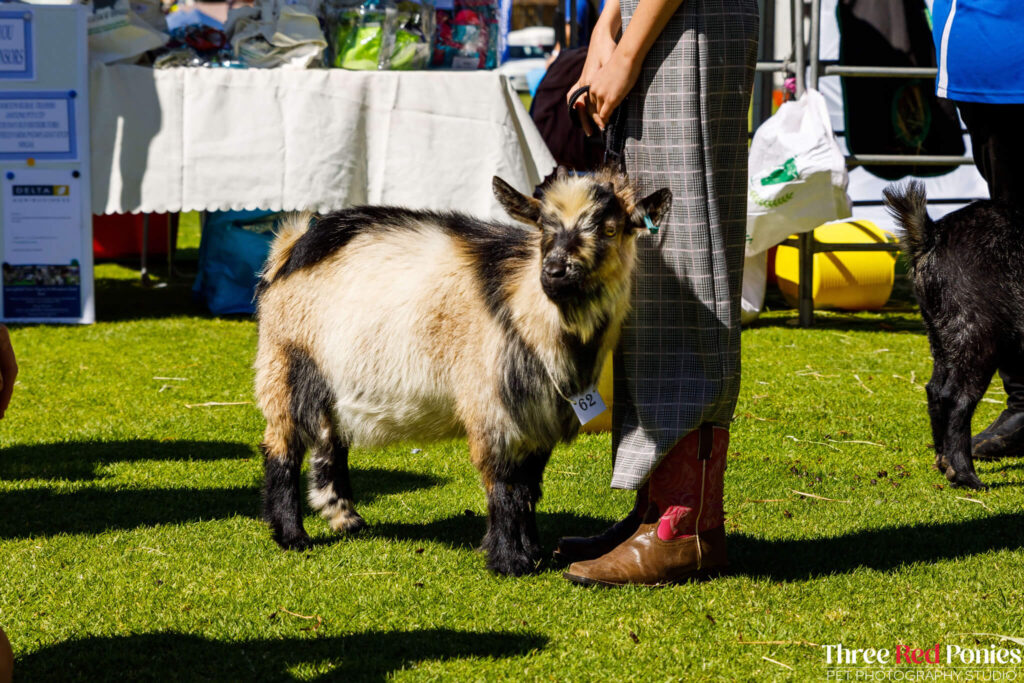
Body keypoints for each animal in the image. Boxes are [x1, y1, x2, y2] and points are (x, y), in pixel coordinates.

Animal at [253, 167, 671, 573]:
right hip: (286, 363)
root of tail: (294, 245)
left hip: (333, 379)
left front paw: (533, 551)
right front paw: (509, 561)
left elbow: (529, 487)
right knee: (282, 447)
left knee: (331, 441)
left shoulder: (538, 418)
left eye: (610, 229)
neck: (528, 307)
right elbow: (506, 487)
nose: (555, 271)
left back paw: (345, 518)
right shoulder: (493, 409)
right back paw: (292, 535)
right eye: (544, 227)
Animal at [880, 180, 1024, 491]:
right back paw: (965, 476)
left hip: (939, 331)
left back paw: (943, 461)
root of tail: (931, 235)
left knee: (934, 389)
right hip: (979, 331)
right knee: (955, 397)